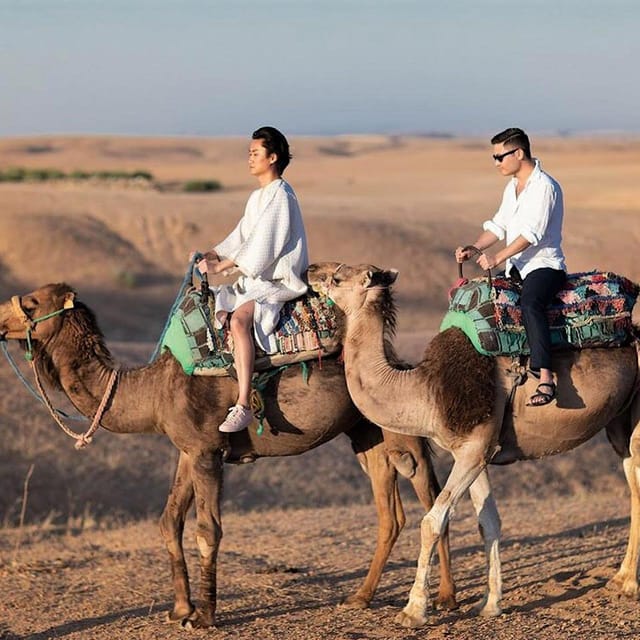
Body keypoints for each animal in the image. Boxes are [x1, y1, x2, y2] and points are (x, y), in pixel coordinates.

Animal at [1, 282, 460, 628]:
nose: (0, 320)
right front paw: (180, 609)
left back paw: (445, 598)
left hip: (400, 431)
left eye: (32, 302)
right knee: (391, 512)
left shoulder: (207, 452)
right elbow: (169, 520)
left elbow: (208, 530)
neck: (152, 390)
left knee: (429, 496)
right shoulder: (189, 449)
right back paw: (361, 596)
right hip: (365, 433)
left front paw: (203, 616)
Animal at [308, 262, 636, 632]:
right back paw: (620, 580)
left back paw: (628, 584)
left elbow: (432, 521)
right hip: (619, 420)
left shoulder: (474, 448)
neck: (424, 391)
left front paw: (413, 610)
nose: (311, 272)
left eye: (337, 278)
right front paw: (489, 604)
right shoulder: (475, 450)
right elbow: (487, 522)